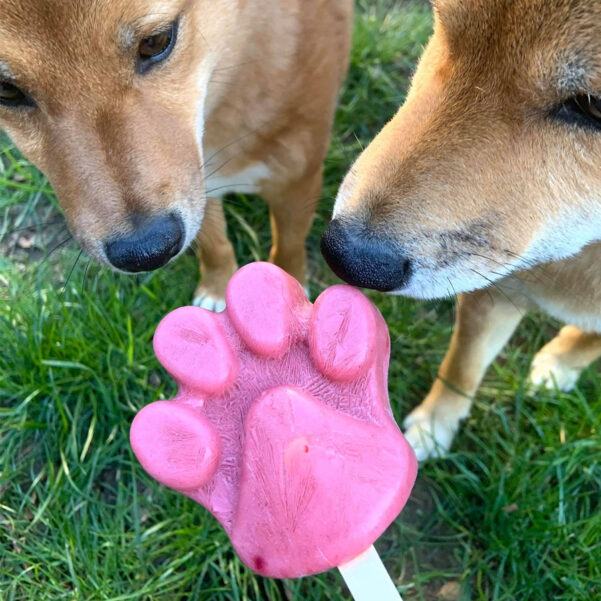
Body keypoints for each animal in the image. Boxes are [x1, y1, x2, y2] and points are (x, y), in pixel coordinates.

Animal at [0, 0, 354, 310]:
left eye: (156, 41)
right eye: (5, 89)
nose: (144, 252)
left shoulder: (297, 181)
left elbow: (289, 246)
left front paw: (290, 288)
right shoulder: (197, 180)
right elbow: (213, 243)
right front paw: (217, 286)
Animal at [322, 0, 600, 460]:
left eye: (594, 107)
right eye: (439, 19)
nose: (349, 256)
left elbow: (588, 342)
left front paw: (560, 365)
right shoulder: (493, 291)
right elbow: (462, 367)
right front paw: (436, 425)